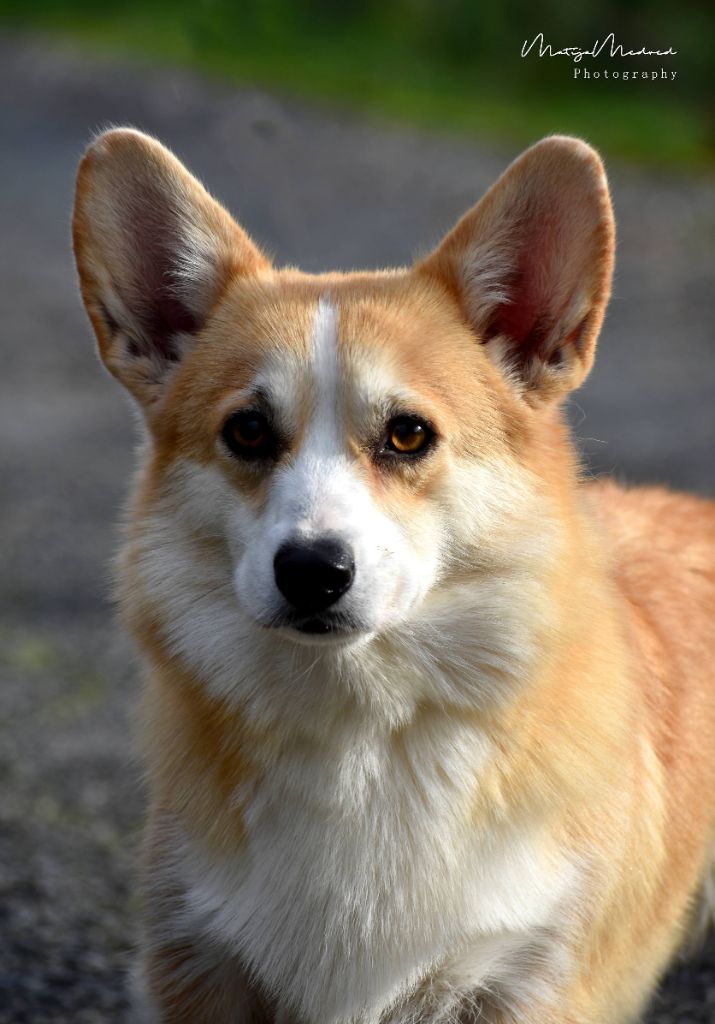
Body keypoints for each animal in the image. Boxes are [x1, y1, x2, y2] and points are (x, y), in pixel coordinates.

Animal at [72, 130, 712, 1024]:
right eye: (246, 431)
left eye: (408, 435)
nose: (312, 571)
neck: (359, 727)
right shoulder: (198, 964)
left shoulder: (525, 977)